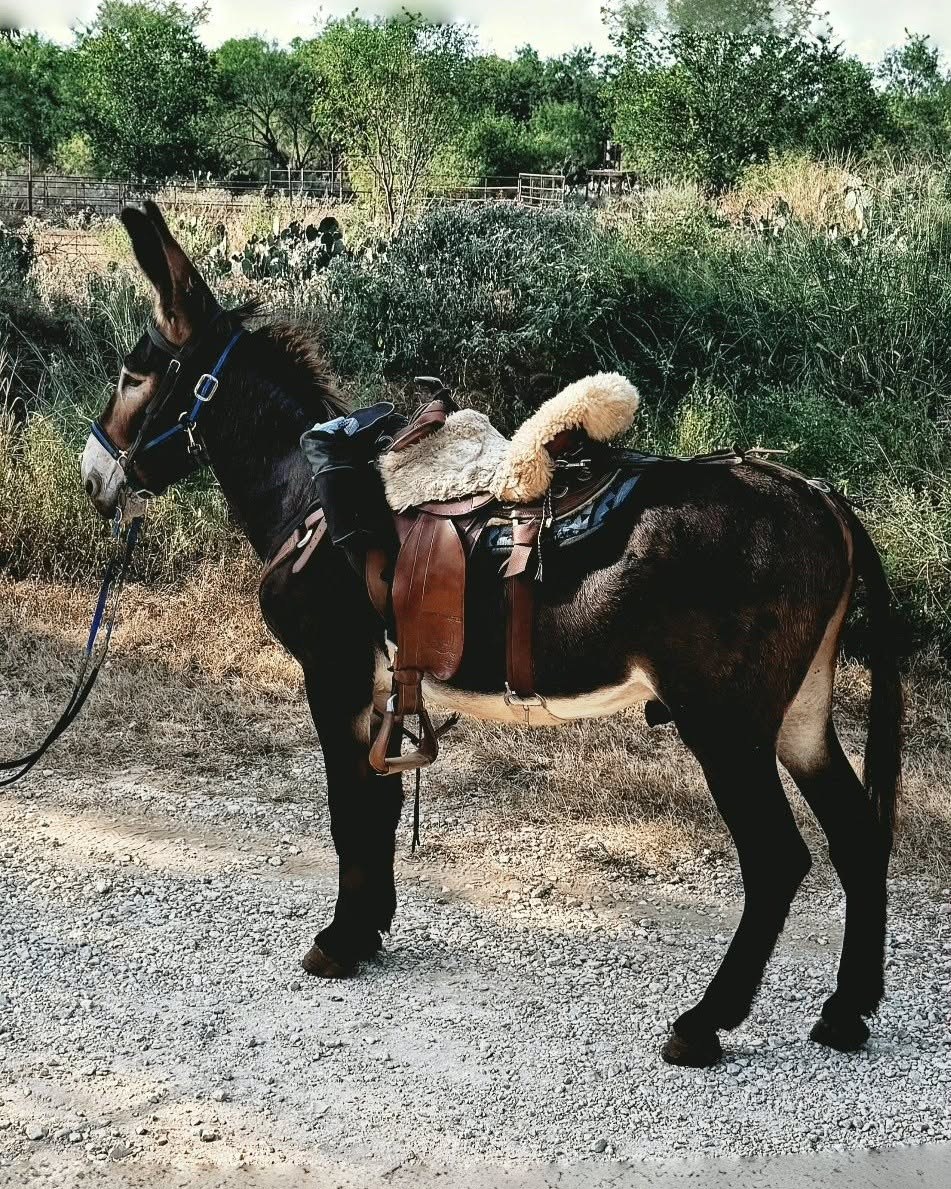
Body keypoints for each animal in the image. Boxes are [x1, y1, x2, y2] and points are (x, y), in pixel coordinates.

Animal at [80, 201, 902, 1068]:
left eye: (135, 372)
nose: (93, 475)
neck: (308, 487)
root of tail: (816, 496)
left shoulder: (332, 675)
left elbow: (346, 808)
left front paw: (339, 941)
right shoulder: (384, 686)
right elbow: (379, 804)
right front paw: (368, 930)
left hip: (723, 724)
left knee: (778, 860)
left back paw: (704, 1019)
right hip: (799, 715)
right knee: (856, 837)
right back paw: (845, 1011)